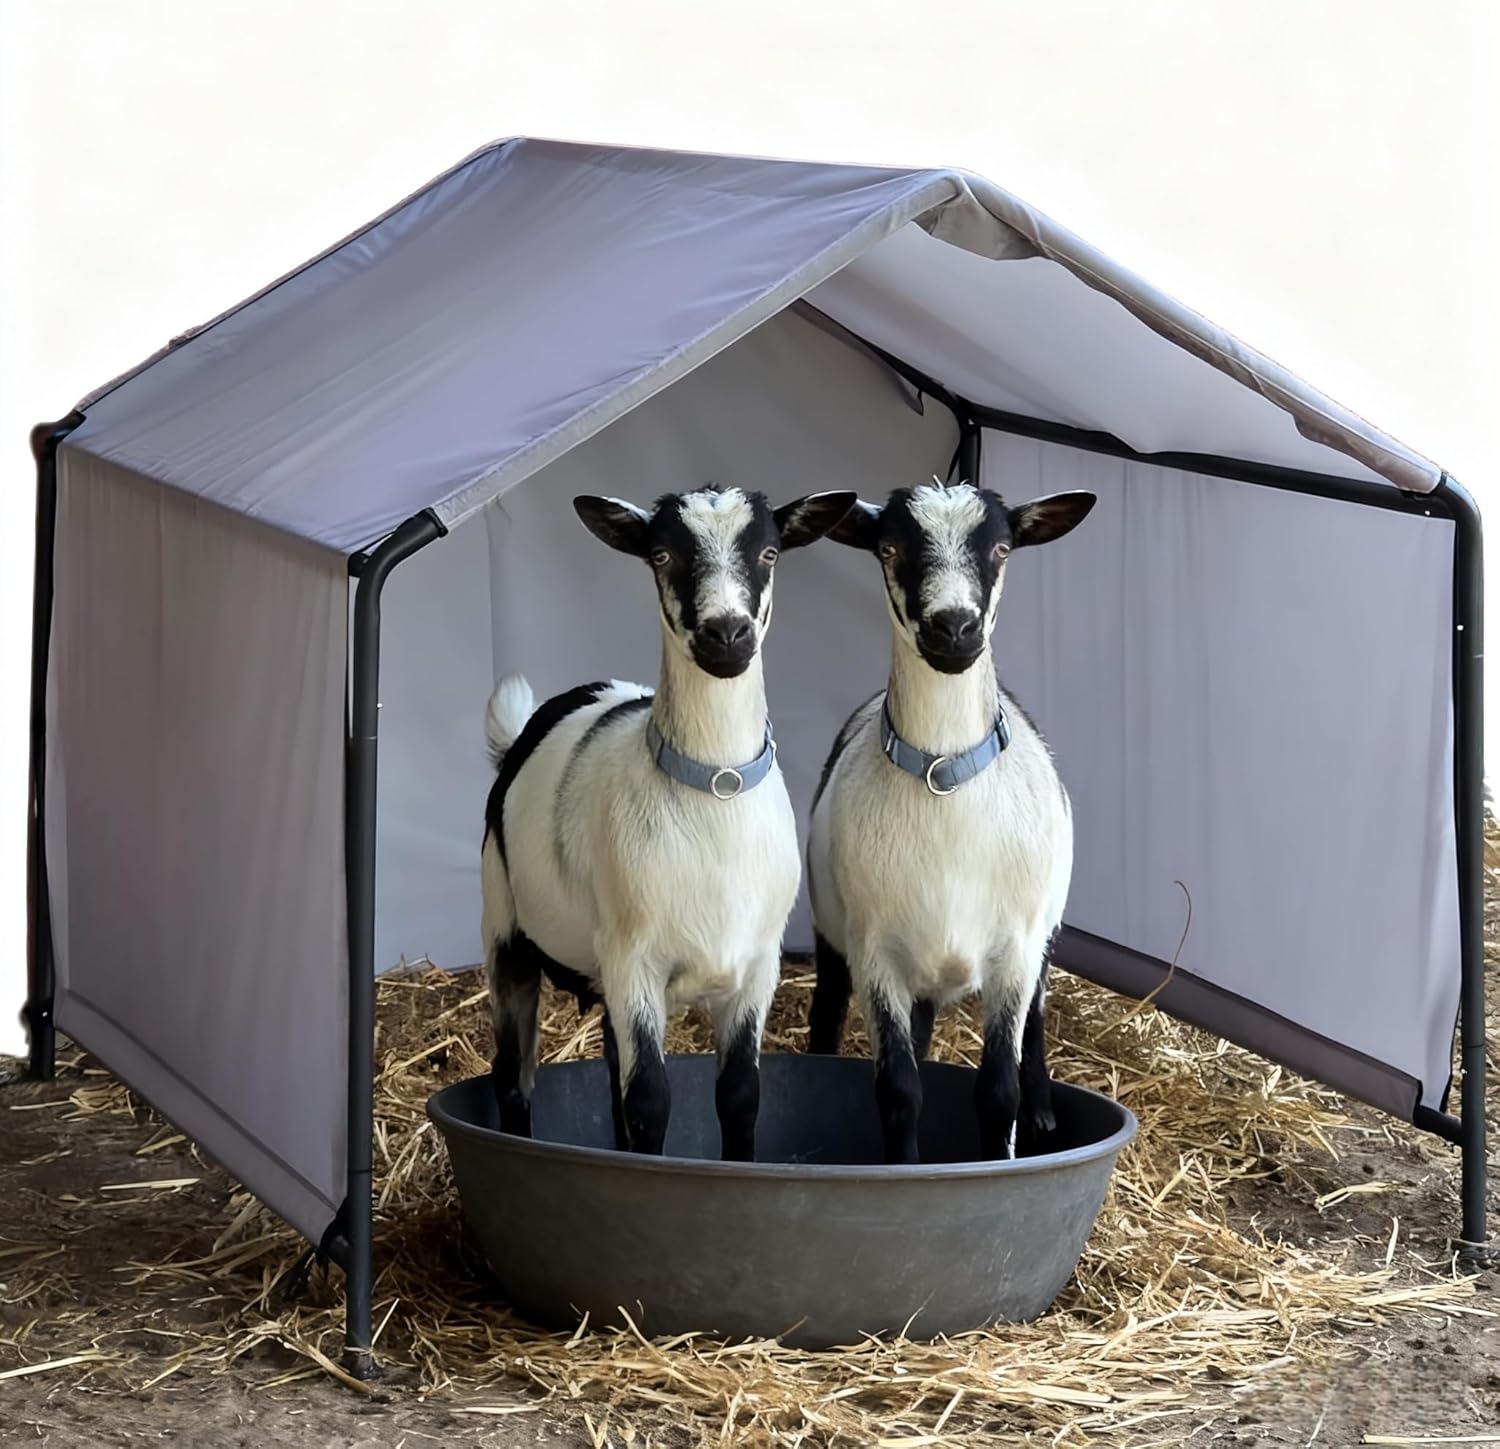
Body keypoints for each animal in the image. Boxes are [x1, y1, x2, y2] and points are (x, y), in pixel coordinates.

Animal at [481, 484, 856, 1160]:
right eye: (661, 555)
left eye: (769, 551)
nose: (727, 633)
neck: (715, 792)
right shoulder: (636, 962)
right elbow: (651, 1100)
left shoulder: (755, 967)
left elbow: (739, 1096)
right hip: (506, 929)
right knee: (513, 1077)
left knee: (609, 1074)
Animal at [805, 479, 1096, 1163]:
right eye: (888, 547)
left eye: (1001, 548)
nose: (954, 627)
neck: (946, 780)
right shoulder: (876, 953)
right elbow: (899, 1088)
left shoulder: (1015, 950)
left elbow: (998, 1090)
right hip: (841, 934)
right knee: (834, 1011)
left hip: (1044, 933)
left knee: (1037, 1019)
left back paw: (1043, 1113)